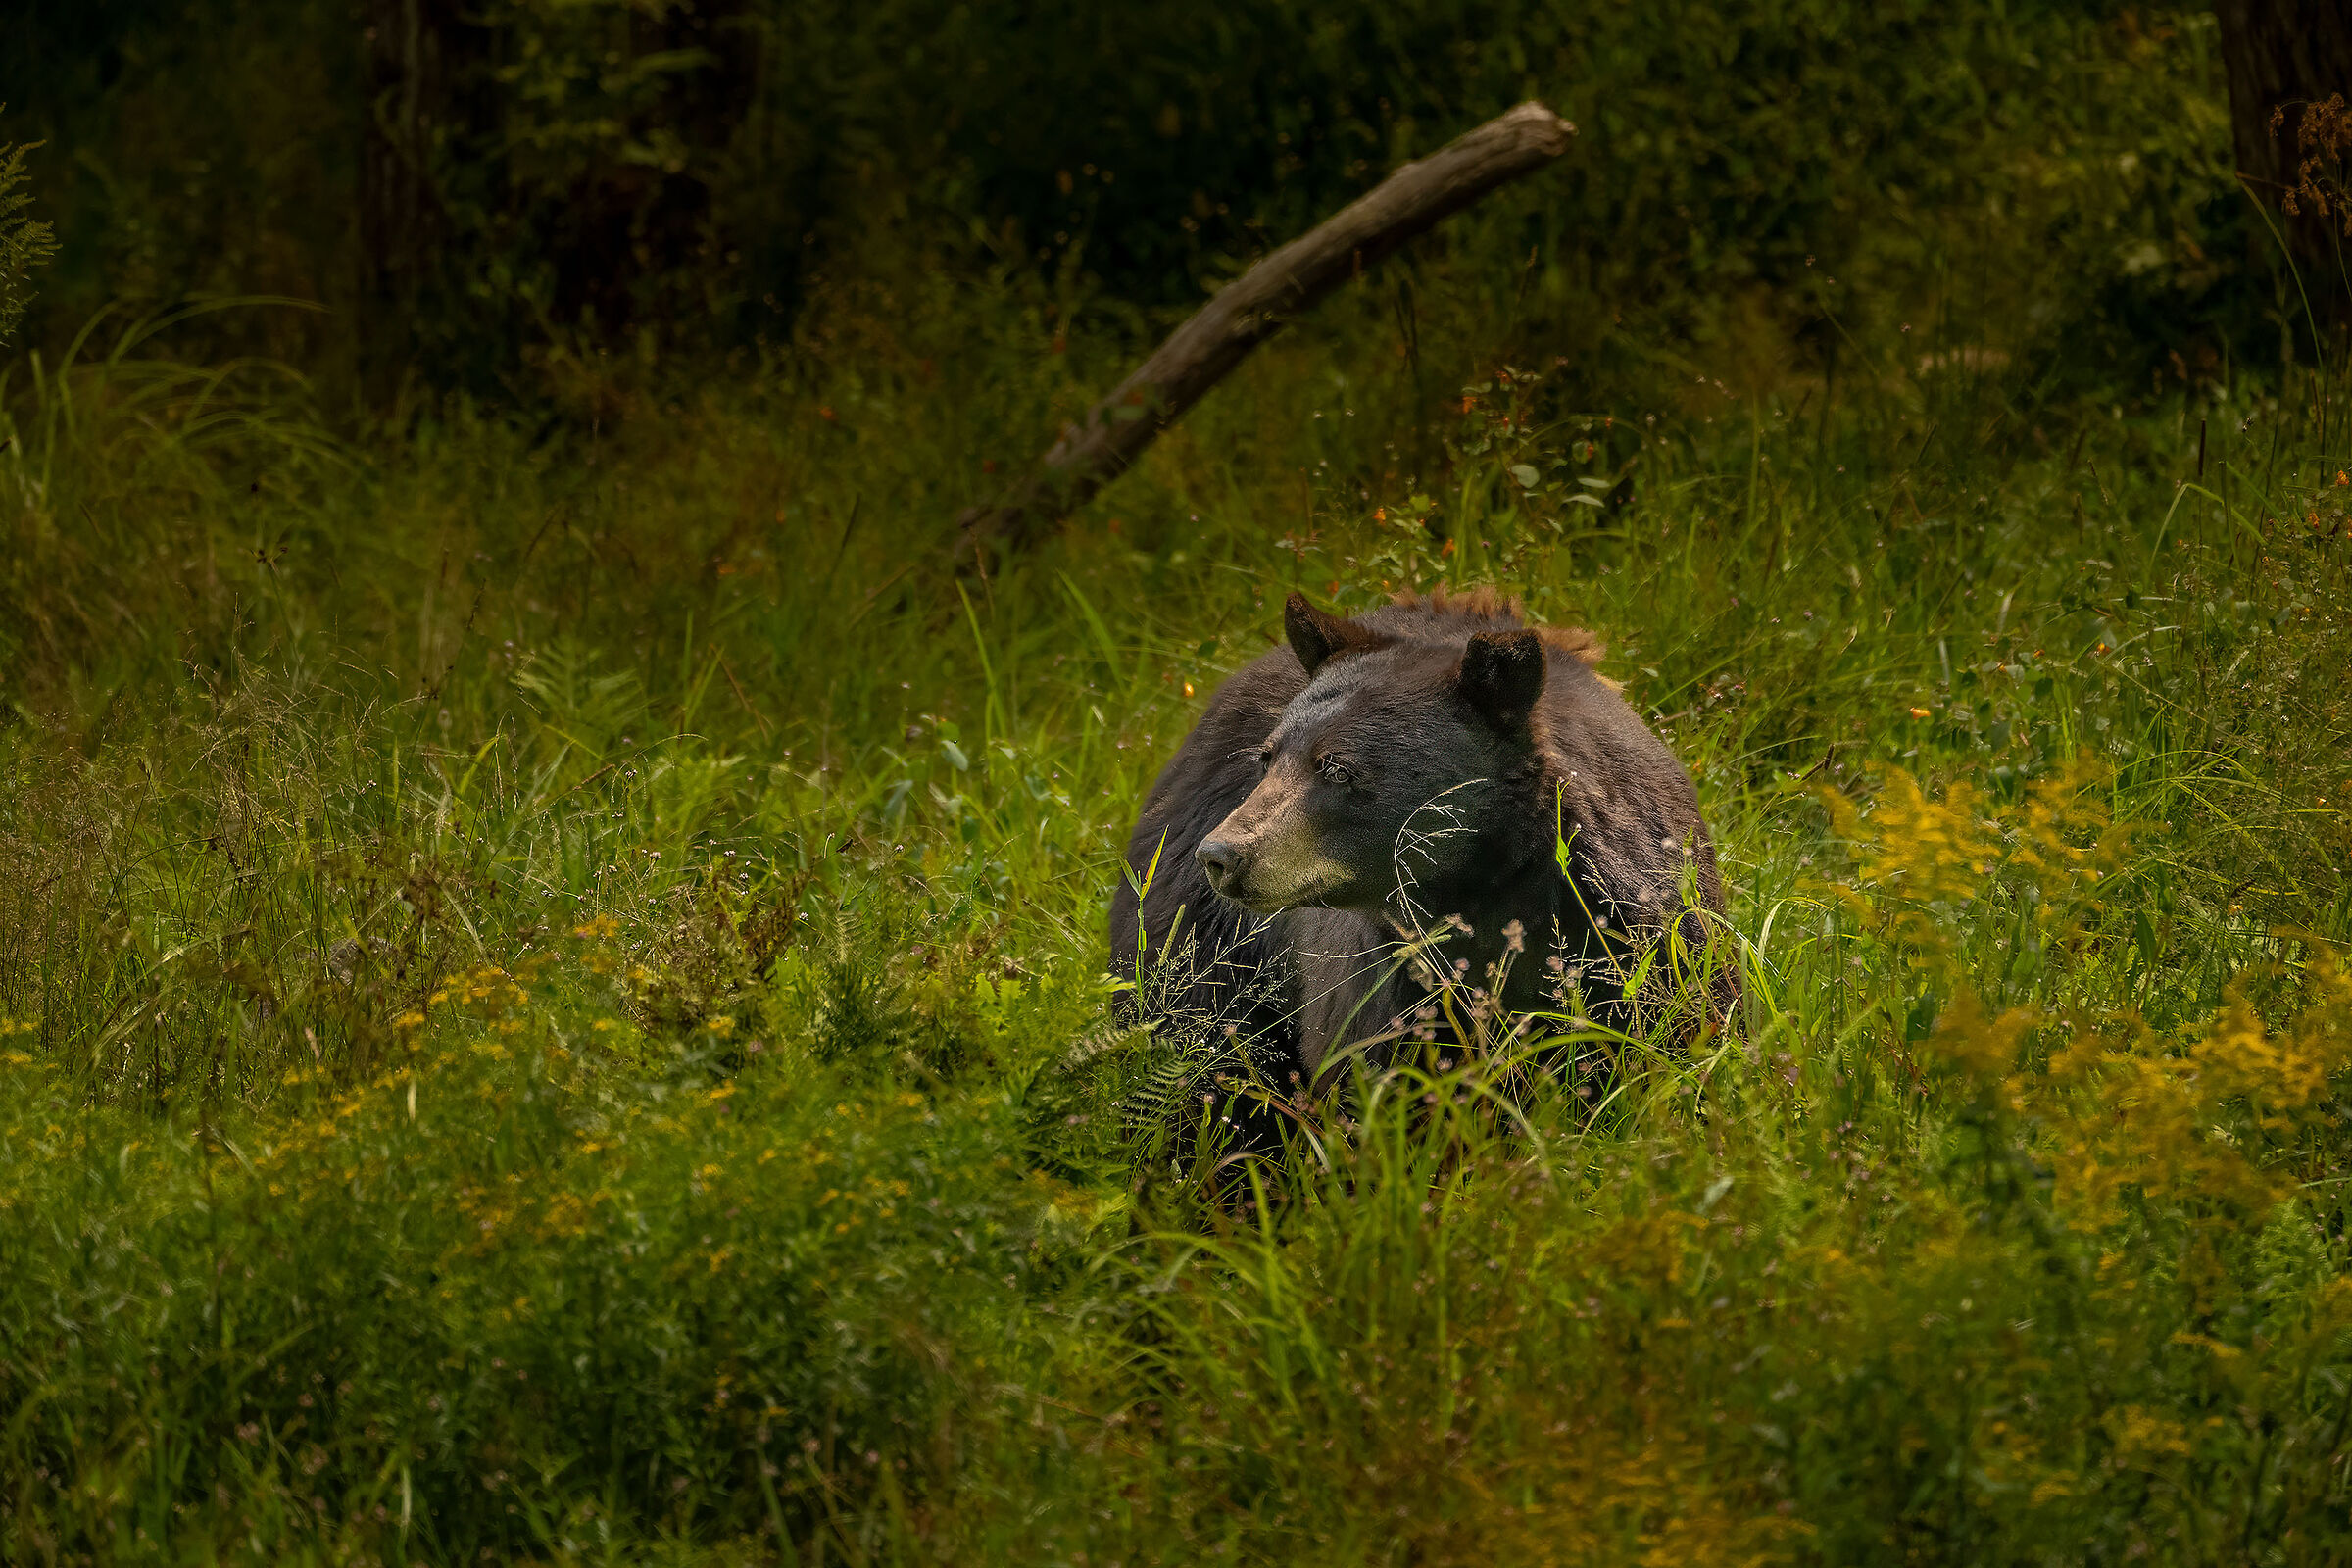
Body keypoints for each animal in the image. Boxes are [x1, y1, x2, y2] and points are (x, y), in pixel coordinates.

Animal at [1108, 587, 1734, 1090]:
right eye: (1267, 759)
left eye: (1337, 768)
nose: (1221, 854)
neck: (1480, 890)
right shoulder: (1387, 972)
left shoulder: (1630, 929)